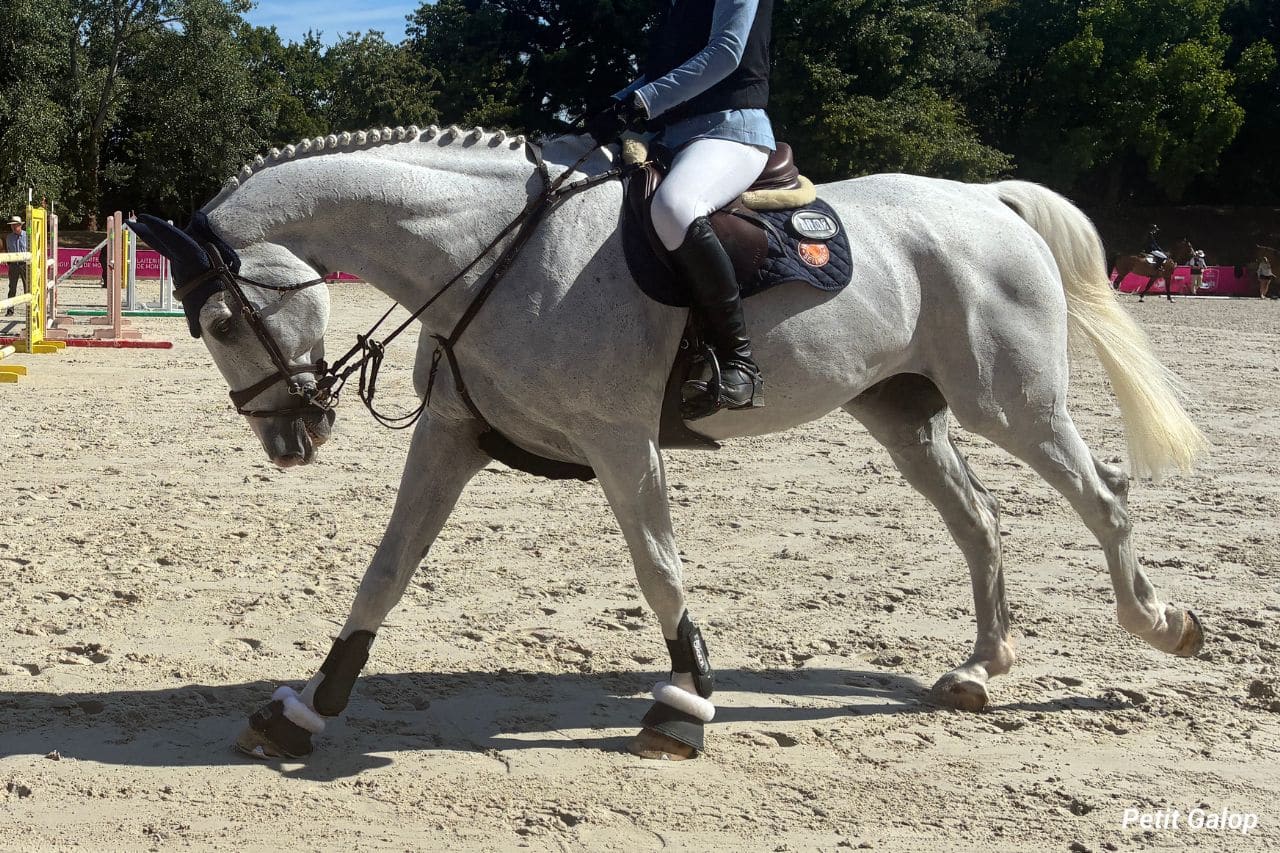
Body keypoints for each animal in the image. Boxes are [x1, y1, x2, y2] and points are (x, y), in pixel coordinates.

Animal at [129, 126, 1208, 762]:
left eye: (219, 320)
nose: (290, 435)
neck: (489, 254)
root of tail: (985, 198)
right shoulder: (450, 435)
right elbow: (385, 571)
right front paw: (305, 708)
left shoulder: (619, 442)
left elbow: (657, 568)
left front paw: (683, 705)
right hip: (905, 415)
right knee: (979, 521)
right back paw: (982, 667)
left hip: (1011, 404)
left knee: (1103, 498)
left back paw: (1164, 626)